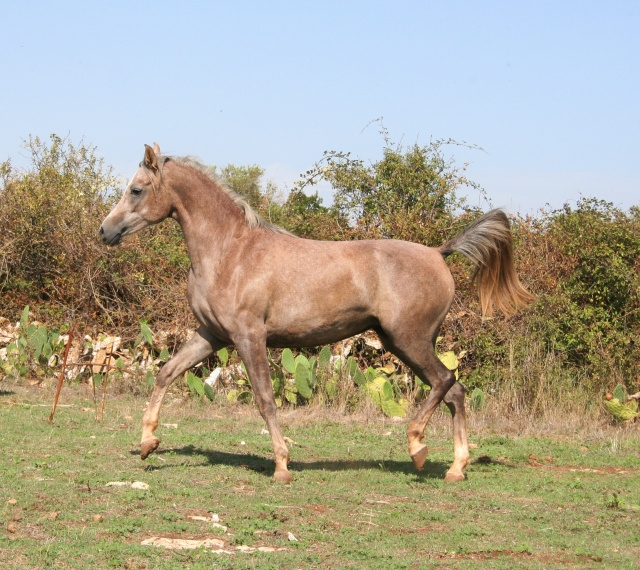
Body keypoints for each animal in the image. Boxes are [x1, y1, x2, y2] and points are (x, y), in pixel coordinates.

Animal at [99, 142, 528, 480]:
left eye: (136, 189)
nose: (105, 232)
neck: (230, 252)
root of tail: (439, 253)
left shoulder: (249, 337)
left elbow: (265, 399)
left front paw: (282, 466)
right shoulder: (212, 335)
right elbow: (166, 373)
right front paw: (148, 442)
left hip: (409, 340)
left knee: (446, 381)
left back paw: (417, 447)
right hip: (404, 343)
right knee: (455, 391)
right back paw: (456, 467)